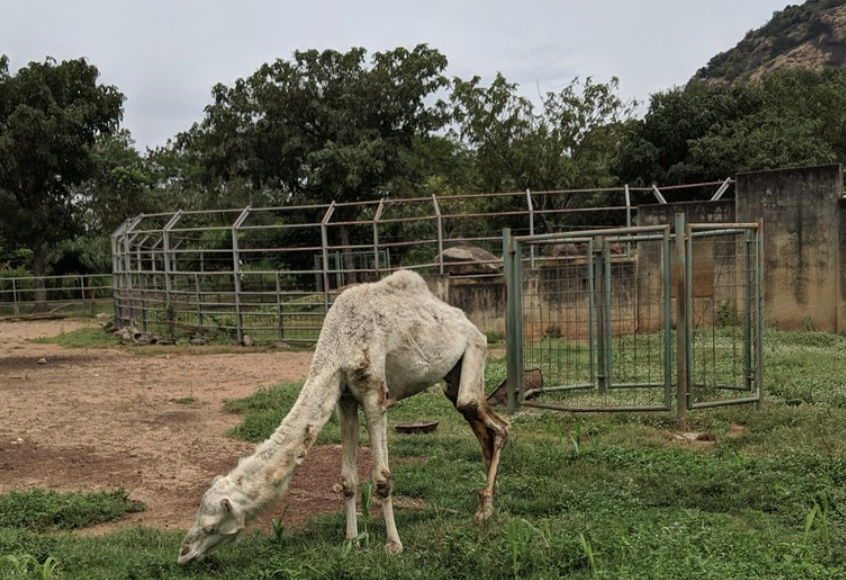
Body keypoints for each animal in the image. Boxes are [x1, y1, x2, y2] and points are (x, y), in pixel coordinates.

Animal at [178, 270, 510, 564]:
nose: (184, 553)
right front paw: (351, 541)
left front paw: (393, 545)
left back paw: (485, 510)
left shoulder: (375, 395)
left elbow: (382, 478)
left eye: (210, 526)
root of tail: (468, 322)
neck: (338, 342)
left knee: (496, 423)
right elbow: (348, 480)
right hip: (451, 379)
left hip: (474, 349)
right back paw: (486, 503)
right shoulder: (345, 400)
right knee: (480, 425)